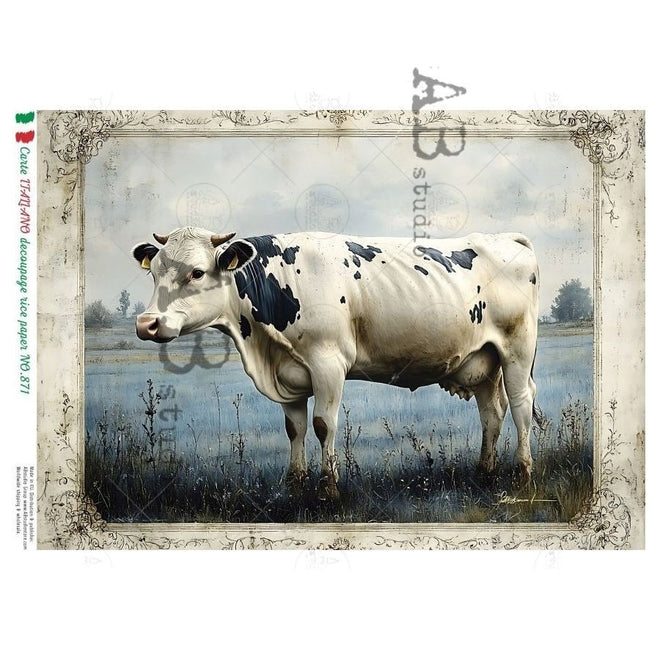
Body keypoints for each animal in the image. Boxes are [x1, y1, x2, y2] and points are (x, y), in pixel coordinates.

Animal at [132, 227, 540, 499]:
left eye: (197, 272)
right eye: (153, 273)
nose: (146, 323)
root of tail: (505, 237)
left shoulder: (328, 363)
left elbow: (323, 425)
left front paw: (329, 489)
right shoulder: (290, 375)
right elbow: (294, 428)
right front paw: (295, 485)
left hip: (516, 348)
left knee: (521, 404)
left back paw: (522, 475)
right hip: (483, 361)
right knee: (492, 413)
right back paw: (484, 472)